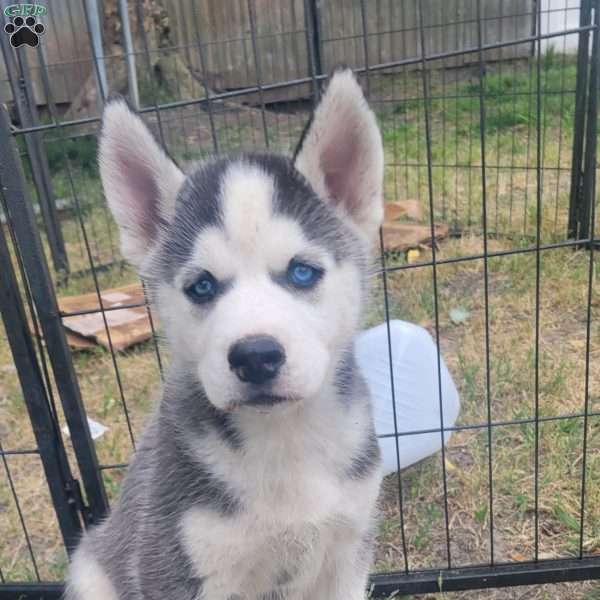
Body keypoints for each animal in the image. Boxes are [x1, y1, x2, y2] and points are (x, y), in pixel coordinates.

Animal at [65, 69, 384, 600]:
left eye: (302, 272)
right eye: (202, 285)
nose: (255, 357)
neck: (283, 439)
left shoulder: (347, 555)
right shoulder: (171, 564)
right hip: (91, 570)